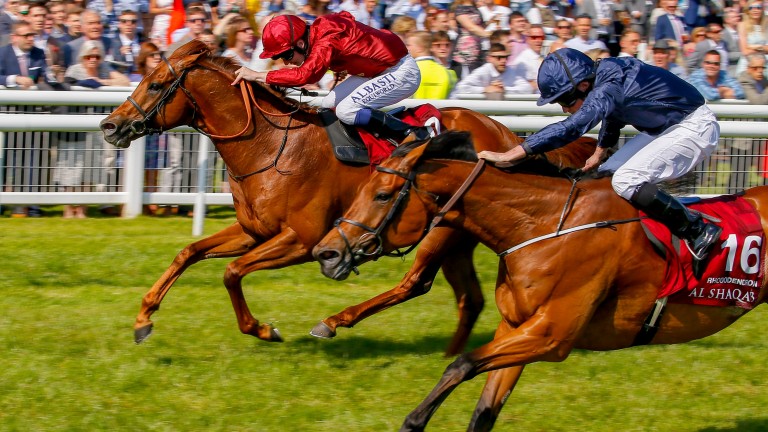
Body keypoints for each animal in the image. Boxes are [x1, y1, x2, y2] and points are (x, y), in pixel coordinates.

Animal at [99, 38, 596, 352]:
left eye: (157, 84)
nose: (110, 125)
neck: (269, 145)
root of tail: (504, 132)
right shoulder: (253, 231)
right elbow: (189, 253)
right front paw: (143, 320)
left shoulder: (302, 240)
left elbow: (232, 273)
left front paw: (263, 329)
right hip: (461, 231)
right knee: (468, 298)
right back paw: (449, 356)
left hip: (436, 228)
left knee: (415, 283)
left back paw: (335, 321)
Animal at [314, 132, 768, 432]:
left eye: (383, 194)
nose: (326, 253)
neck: (546, 225)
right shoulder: (517, 328)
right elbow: (485, 409)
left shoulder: (552, 335)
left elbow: (461, 364)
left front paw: (413, 421)